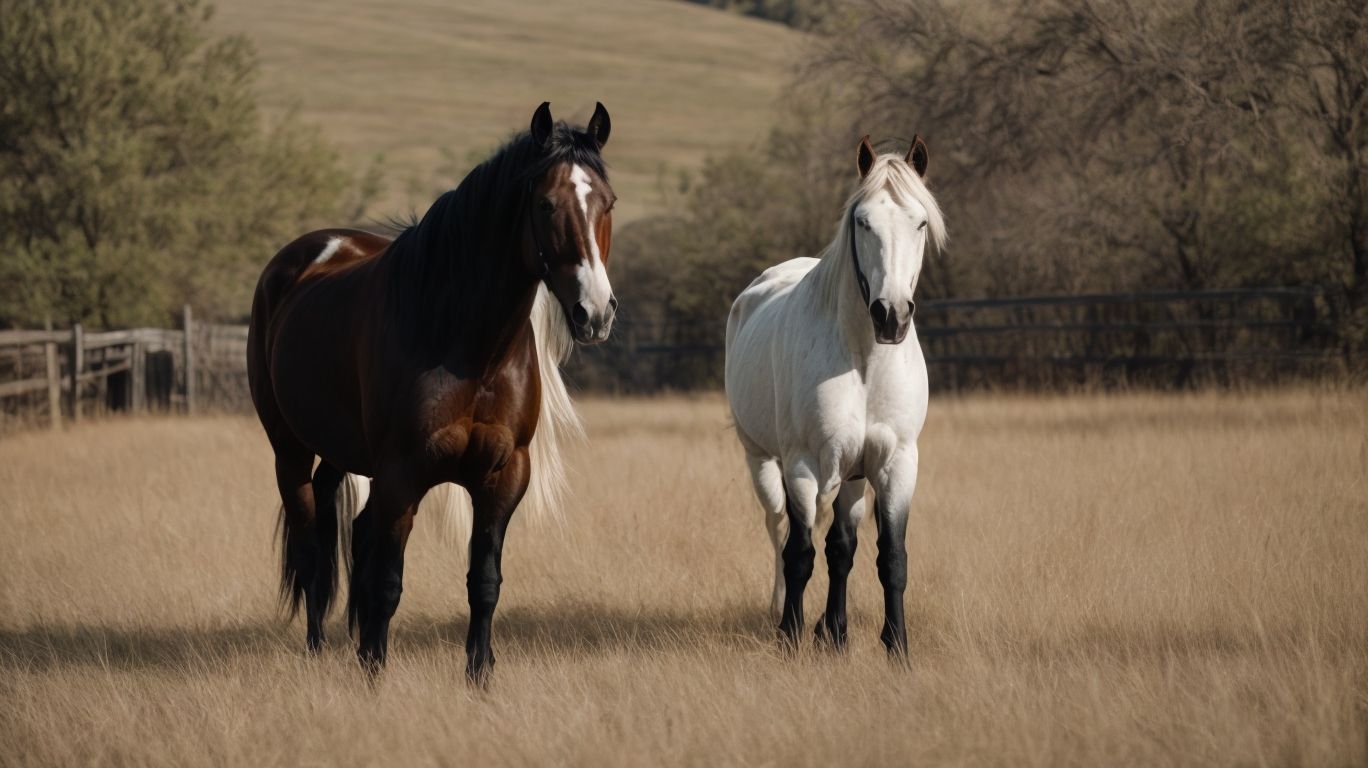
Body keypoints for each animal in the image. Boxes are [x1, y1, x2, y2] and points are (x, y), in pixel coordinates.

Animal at [247, 102, 618, 682]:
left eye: (608, 202)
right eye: (546, 203)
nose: (595, 312)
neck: (467, 344)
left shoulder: (503, 476)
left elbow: (483, 583)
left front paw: (479, 676)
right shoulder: (403, 475)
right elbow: (387, 583)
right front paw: (373, 675)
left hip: (344, 453)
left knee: (348, 534)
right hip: (290, 449)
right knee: (311, 554)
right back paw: (317, 651)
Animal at [724, 135, 945, 657]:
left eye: (920, 222)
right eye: (862, 221)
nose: (891, 315)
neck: (863, 362)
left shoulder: (895, 463)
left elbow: (887, 556)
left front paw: (895, 645)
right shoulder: (804, 463)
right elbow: (801, 553)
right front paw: (790, 635)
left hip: (853, 475)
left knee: (841, 545)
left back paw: (834, 630)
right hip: (762, 460)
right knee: (780, 529)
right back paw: (781, 613)